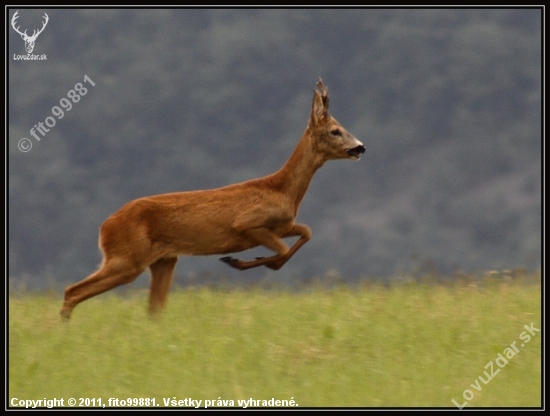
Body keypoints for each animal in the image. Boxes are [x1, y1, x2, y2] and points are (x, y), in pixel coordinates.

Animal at [60, 78, 366, 318]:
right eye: (335, 130)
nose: (360, 147)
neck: (282, 191)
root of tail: (104, 227)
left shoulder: (283, 225)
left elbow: (307, 232)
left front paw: (245, 261)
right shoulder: (248, 224)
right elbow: (281, 250)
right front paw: (237, 261)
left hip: (164, 259)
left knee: (154, 308)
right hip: (127, 258)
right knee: (72, 291)